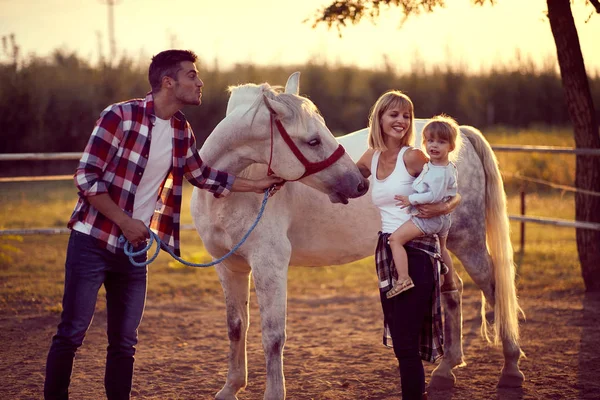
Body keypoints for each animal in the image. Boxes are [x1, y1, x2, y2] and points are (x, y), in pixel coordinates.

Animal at [191, 72, 520, 400]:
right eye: (313, 140)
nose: (359, 183)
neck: (229, 190)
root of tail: (459, 133)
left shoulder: (268, 264)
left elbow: (273, 336)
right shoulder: (228, 266)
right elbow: (236, 327)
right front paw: (230, 388)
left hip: (468, 241)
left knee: (494, 290)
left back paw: (511, 371)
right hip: (440, 240)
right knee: (453, 290)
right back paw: (445, 370)